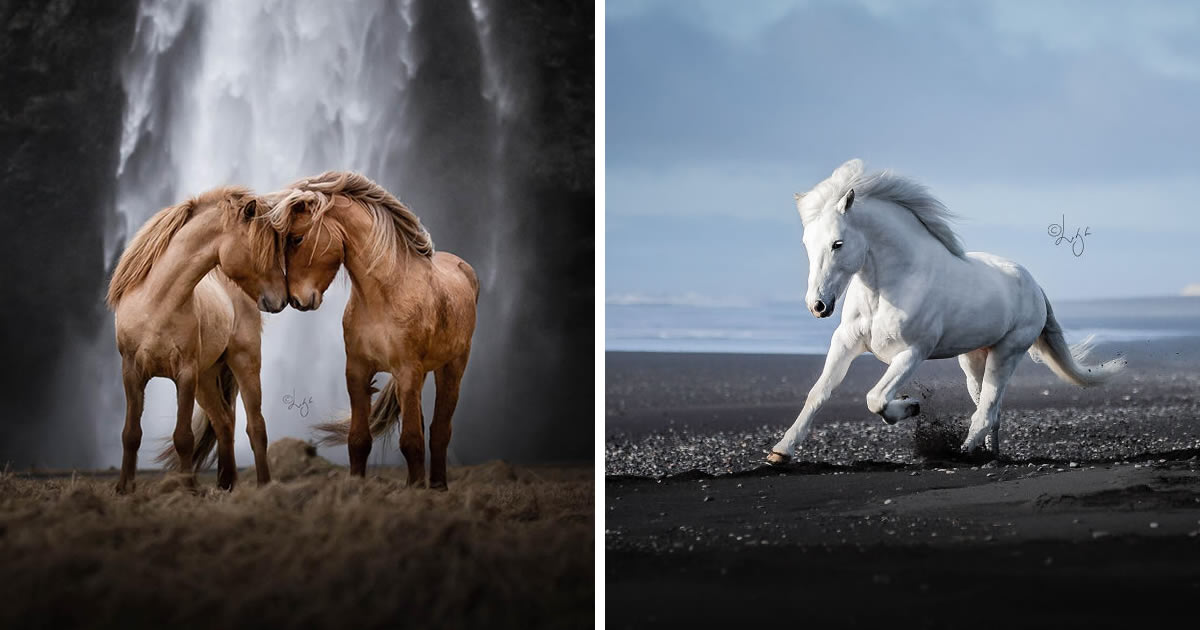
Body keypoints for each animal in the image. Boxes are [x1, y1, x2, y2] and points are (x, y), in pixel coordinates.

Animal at [108, 187, 285, 492]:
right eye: (260, 248)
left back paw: (263, 485)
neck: (157, 303)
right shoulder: (131, 371)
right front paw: (124, 487)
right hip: (207, 379)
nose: (281, 299)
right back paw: (226, 484)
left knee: (255, 427)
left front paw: (188, 488)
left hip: (244, 364)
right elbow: (131, 433)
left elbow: (183, 437)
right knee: (224, 423)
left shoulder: (185, 374)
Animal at [270, 171, 475, 492]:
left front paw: (416, 492)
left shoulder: (407, 371)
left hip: (451, 368)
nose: (296, 301)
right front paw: (358, 487)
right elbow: (358, 440)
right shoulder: (357, 371)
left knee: (440, 429)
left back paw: (437, 486)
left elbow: (412, 441)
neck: (385, 295)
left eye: (297, 238)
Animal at [768, 158, 1123, 460]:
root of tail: (1035, 286)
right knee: (990, 409)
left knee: (987, 409)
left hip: (1007, 352)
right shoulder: (845, 343)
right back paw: (990, 454)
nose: (818, 305)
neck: (887, 289)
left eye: (837, 243)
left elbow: (875, 398)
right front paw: (781, 452)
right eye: (806, 244)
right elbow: (818, 393)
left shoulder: (913, 352)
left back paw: (965, 451)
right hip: (974, 359)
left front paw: (910, 405)